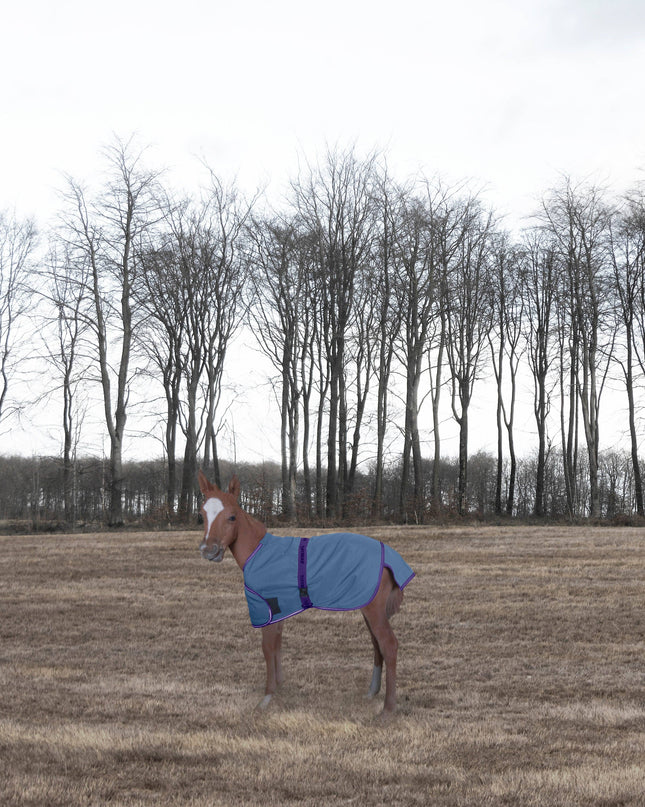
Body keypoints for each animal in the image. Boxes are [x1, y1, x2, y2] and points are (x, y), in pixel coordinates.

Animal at [197, 471, 415, 713]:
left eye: (232, 517)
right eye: (202, 514)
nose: (209, 550)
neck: (259, 552)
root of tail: (389, 556)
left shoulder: (267, 608)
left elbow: (267, 648)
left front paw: (267, 696)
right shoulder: (280, 609)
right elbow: (277, 645)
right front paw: (279, 687)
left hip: (374, 610)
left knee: (389, 645)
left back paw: (388, 708)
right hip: (368, 608)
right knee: (377, 645)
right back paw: (372, 692)